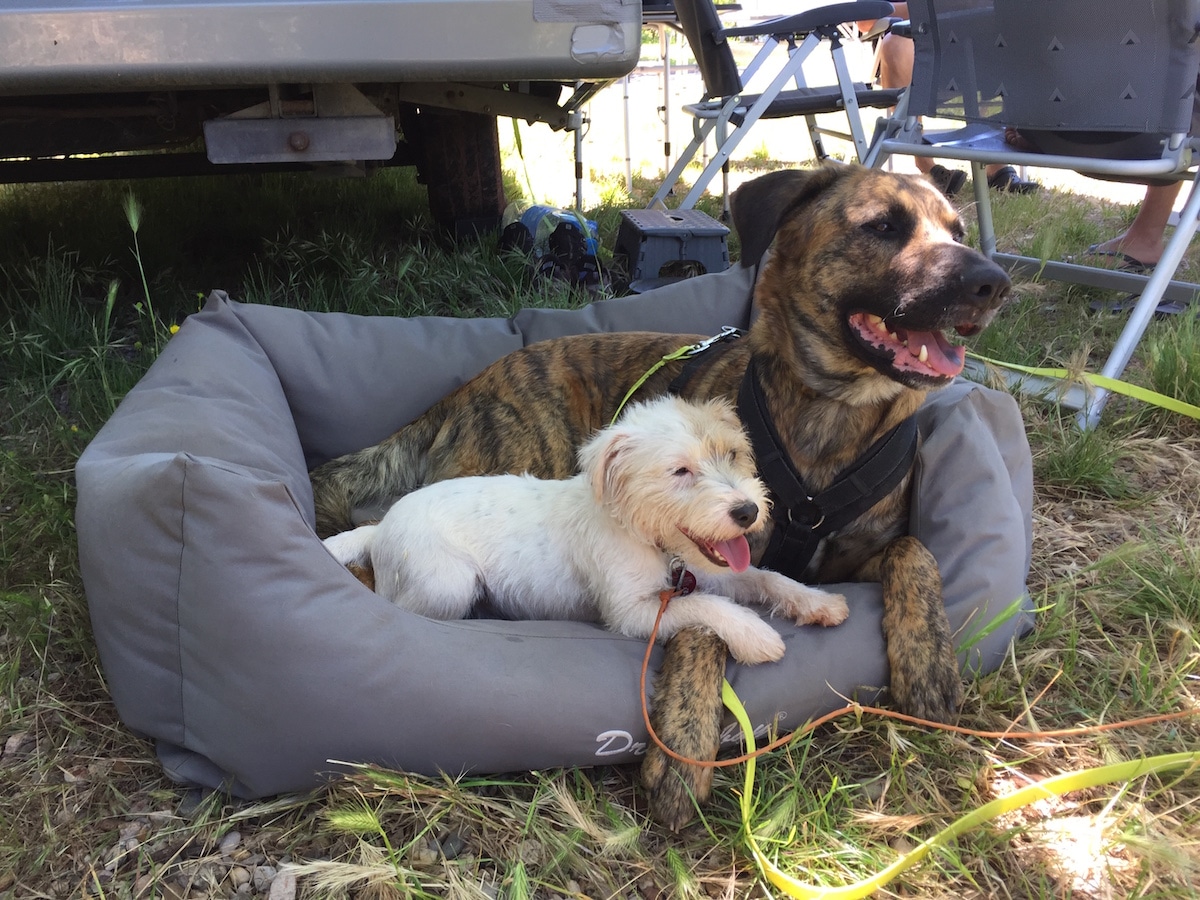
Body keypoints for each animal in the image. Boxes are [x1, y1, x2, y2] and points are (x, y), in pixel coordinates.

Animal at [319, 398, 844, 667]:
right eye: (679, 471)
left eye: (732, 454)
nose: (748, 510)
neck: (646, 539)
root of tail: (380, 526)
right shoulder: (633, 614)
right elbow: (707, 605)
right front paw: (756, 636)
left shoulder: (708, 570)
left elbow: (764, 577)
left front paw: (817, 602)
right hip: (447, 583)